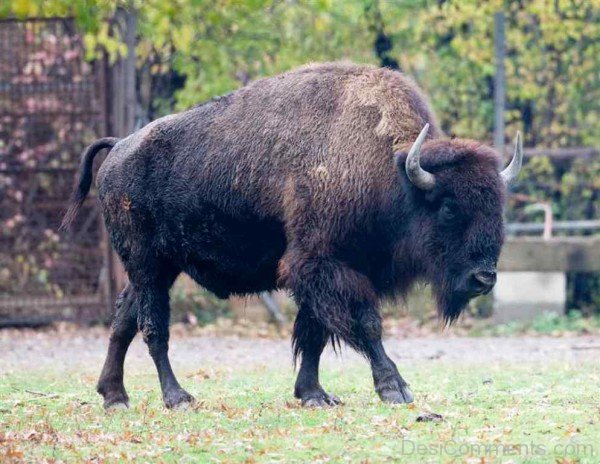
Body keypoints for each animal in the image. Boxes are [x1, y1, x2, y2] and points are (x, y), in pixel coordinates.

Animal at [61, 62, 520, 410]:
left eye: (497, 207)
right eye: (448, 207)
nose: (484, 278)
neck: (392, 175)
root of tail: (120, 147)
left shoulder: (325, 273)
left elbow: (314, 334)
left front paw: (315, 394)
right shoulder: (322, 265)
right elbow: (365, 324)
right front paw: (395, 388)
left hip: (158, 266)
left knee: (124, 319)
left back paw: (114, 396)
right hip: (147, 264)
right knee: (153, 328)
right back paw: (178, 398)